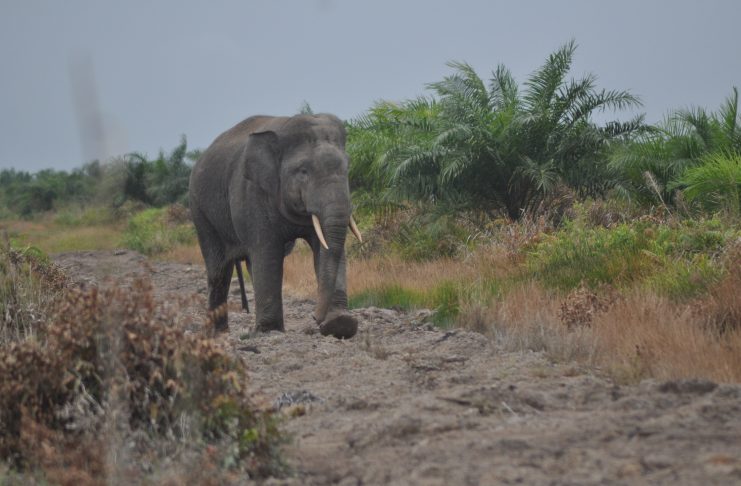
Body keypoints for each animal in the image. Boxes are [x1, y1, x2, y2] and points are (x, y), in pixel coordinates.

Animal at [188, 115, 362, 338]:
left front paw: (341, 324)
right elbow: (267, 251)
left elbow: (324, 246)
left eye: (347, 168)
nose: (315, 317)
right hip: (200, 211)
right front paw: (269, 329)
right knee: (219, 269)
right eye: (303, 171)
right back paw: (219, 333)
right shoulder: (252, 193)